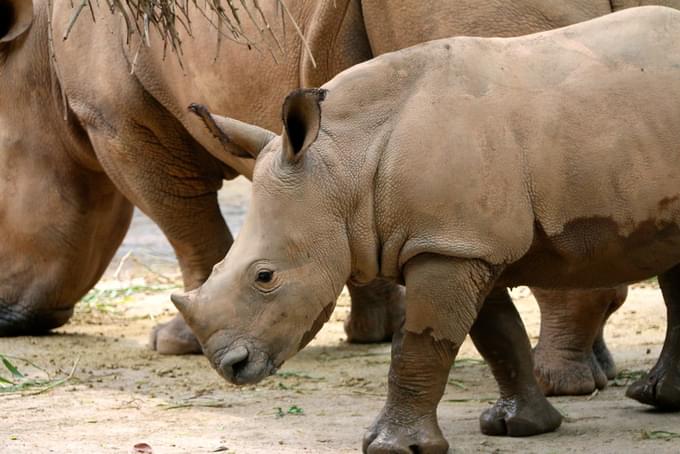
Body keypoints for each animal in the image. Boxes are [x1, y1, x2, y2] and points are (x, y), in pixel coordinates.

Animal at [174, 6, 680, 450]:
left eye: (265, 276)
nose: (230, 367)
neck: (344, 162)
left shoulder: (452, 245)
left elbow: (421, 345)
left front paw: (393, 447)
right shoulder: (460, 241)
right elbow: (497, 334)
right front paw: (520, 426)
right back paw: (657, 399)